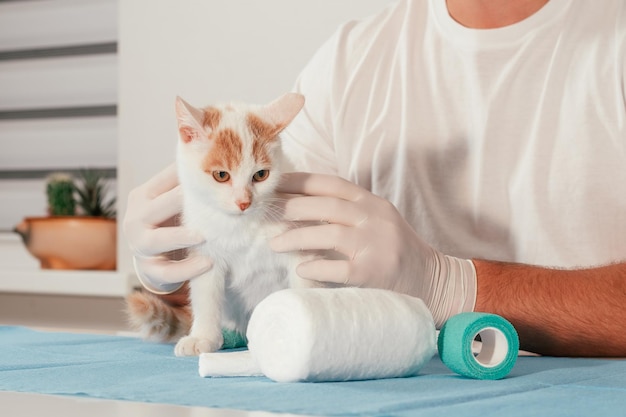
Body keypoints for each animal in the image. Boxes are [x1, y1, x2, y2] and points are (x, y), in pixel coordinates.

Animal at [125, 92, 320, 356]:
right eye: (221, 175)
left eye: (261, 175)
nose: (244, 202)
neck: (241, 226)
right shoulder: (205, 254)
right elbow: (206, 296)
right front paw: (202, 336)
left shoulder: (299, 242)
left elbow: (303, 283)